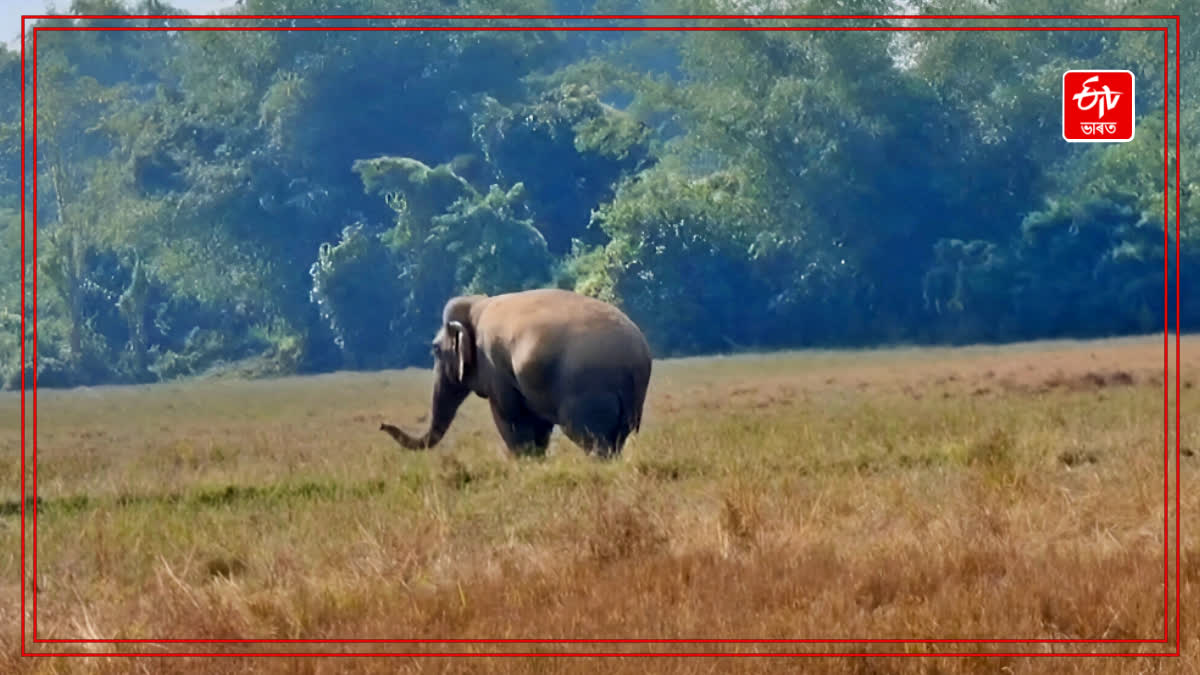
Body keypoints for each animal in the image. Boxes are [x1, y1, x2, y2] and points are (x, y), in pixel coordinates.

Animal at [380, 288, 652, 459]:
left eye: (435, 349)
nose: (382, 425)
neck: (478, 304)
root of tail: (637, 357)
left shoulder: (496, 369)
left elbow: (510, 417)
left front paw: (524, 461)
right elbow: (537, 425)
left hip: (589, 390)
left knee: (591, 438)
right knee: (616, 440)